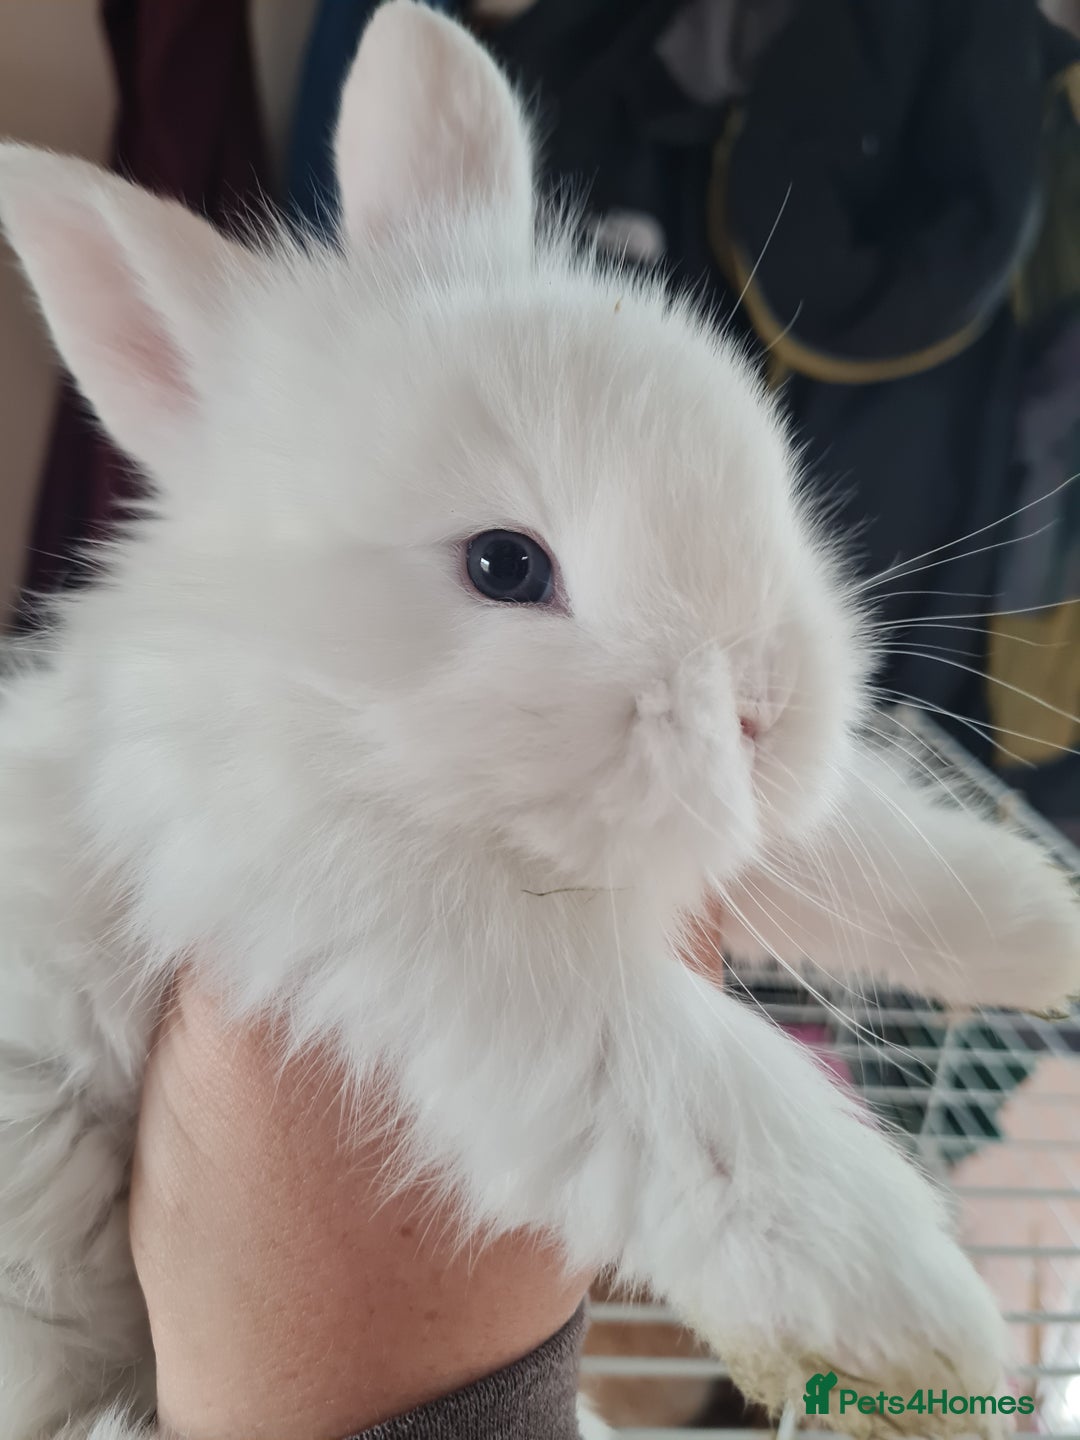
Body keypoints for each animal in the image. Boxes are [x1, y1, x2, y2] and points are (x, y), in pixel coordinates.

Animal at [0, 3, 1077, 1437]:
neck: (315, 684)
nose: (768, 713)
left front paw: (1040, 925)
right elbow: (683, 1089)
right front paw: (906, 1324)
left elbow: (868, 849)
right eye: (505, 566)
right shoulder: (425, 943)